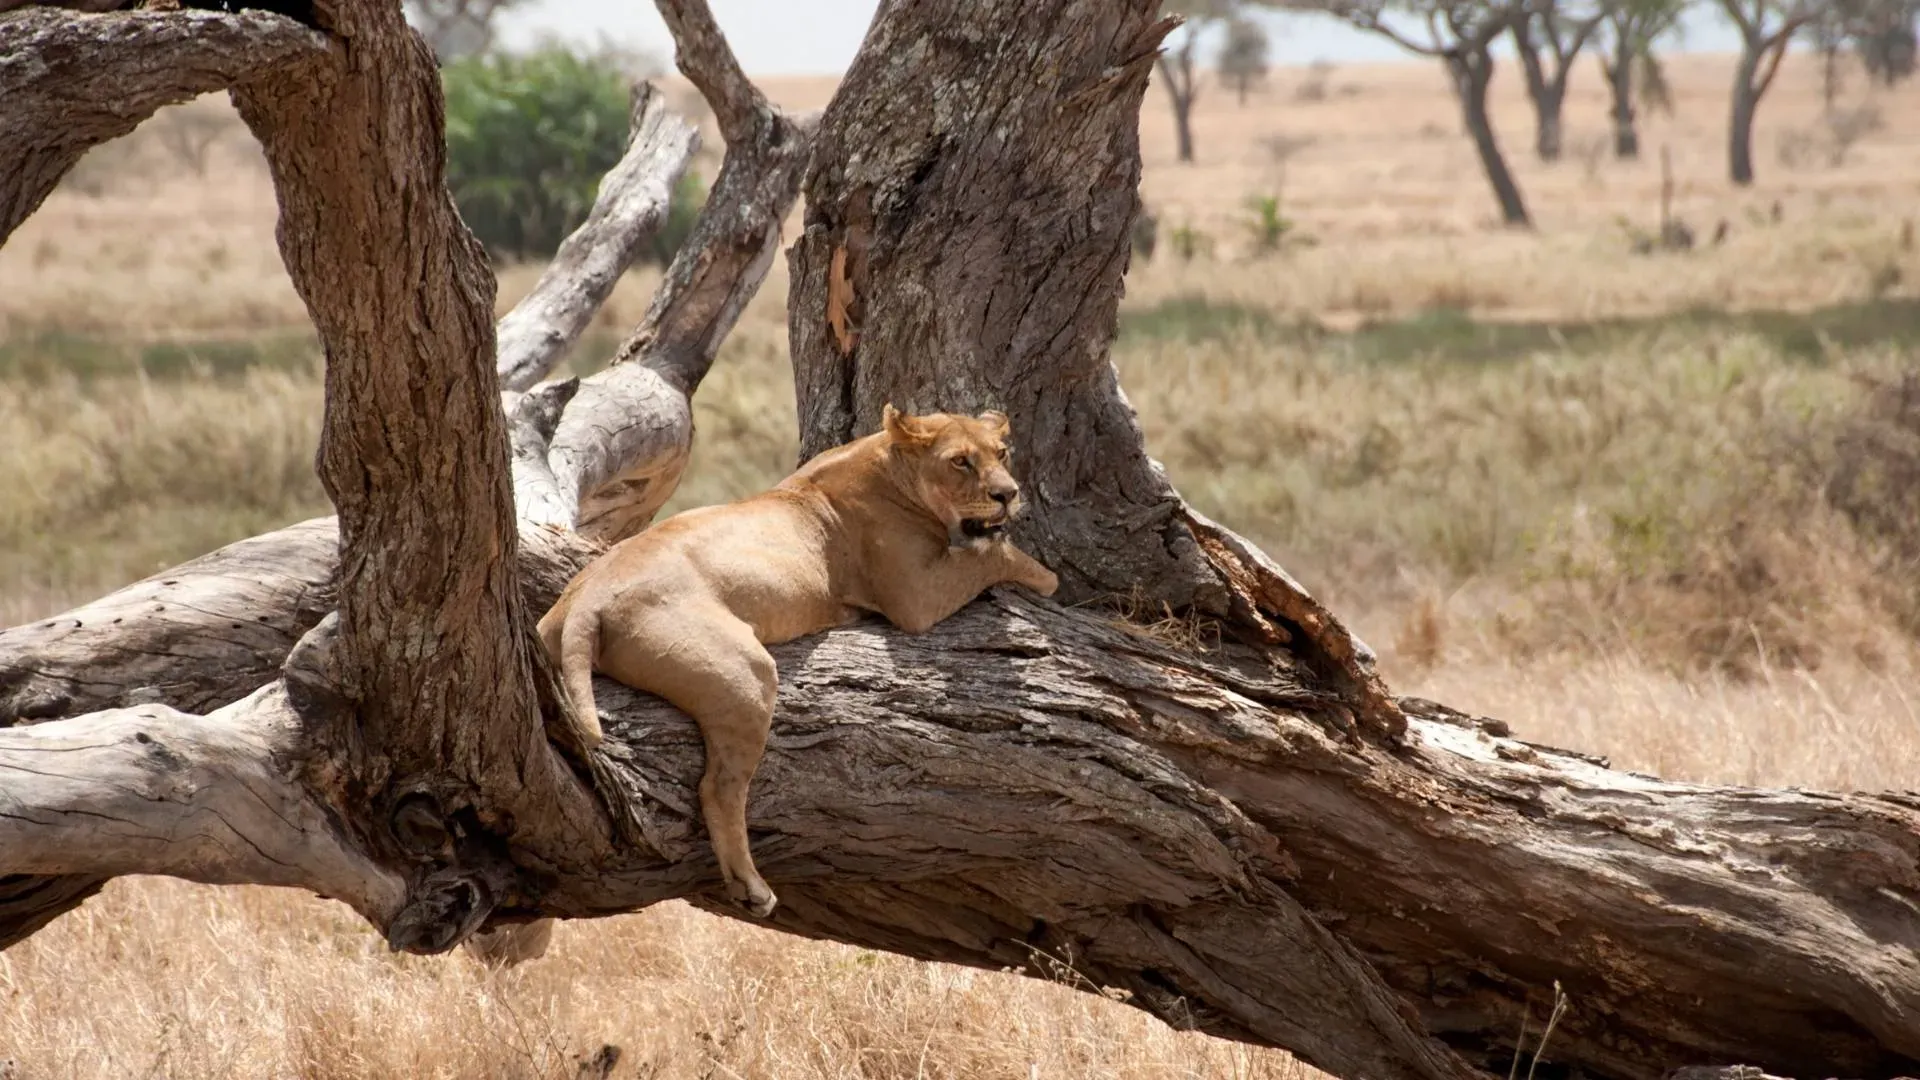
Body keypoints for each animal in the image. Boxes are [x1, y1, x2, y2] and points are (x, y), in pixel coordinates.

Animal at [538, 404, 1060, 918]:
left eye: (1001, 452)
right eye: (960, 462)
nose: (1008, 495)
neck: (886, 461)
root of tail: (586, 598)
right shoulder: (915, 597)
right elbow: (995, 554)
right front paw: (1047, 576)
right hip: (746, 672)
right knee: (719, 787)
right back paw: (752, 888)